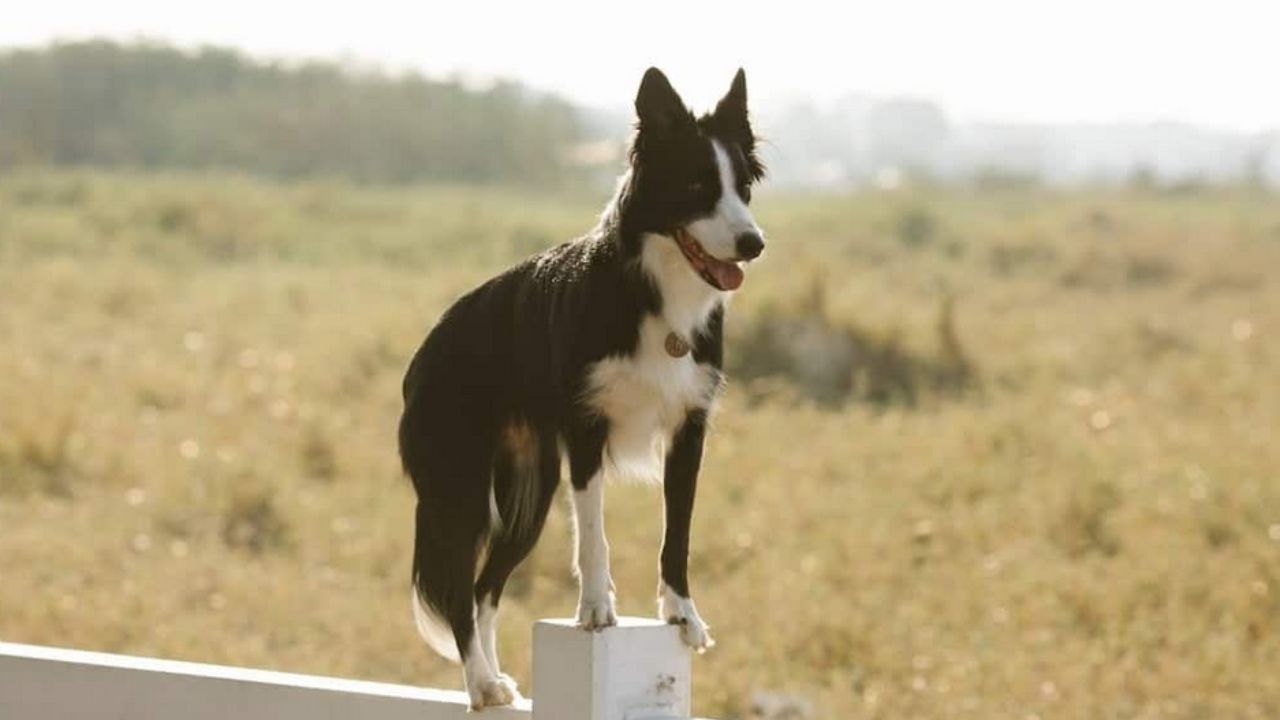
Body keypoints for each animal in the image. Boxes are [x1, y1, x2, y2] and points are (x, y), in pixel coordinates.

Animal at [394, 67, 762, 707]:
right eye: (696, 185)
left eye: (743, 188)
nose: (753, 244)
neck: (656, 293)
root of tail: (425, 351)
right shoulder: (587, 429)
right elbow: (594, 533)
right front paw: (595, 610)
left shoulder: (688, 431)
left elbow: (678, 534)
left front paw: (683, 615)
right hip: (461, 490)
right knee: (461, 591)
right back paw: (480, 684)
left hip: (530, 495)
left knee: (486, 589)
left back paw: (497, 679)